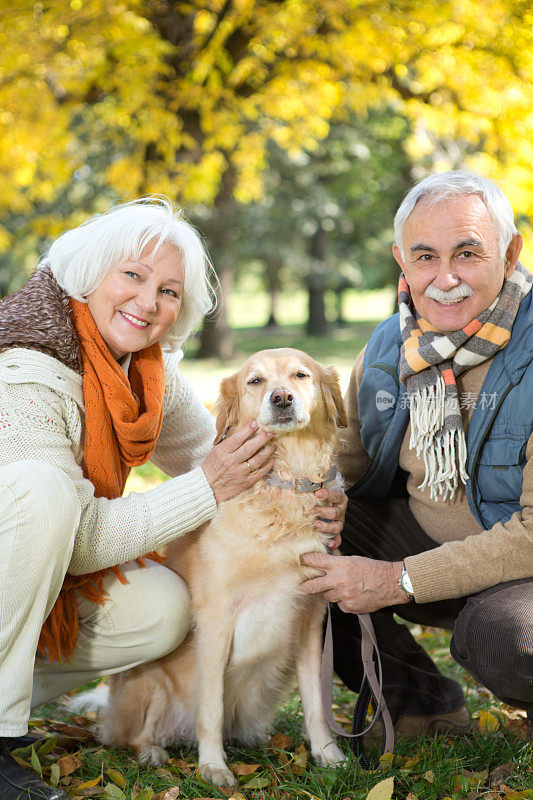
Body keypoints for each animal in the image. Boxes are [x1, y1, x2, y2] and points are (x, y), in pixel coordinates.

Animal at [98, 346, 350, 784]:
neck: (287, 484)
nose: (281, 399)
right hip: (150, 683)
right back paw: (152, 753)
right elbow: (211, 706)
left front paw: (327, 755)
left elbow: (317, 702)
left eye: (300, 376)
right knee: (134, 735)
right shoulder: (216, 618)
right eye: (255, 381)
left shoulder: (311, 616)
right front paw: (213, 767)